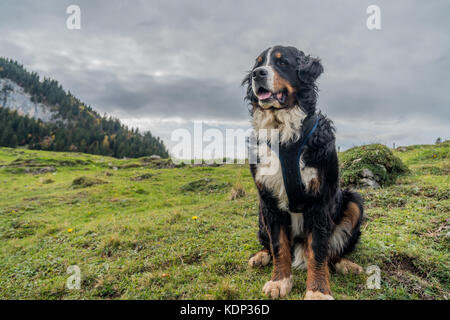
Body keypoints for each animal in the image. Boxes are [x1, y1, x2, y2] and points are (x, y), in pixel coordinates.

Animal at [243, 45, 366, 300]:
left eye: (282, 63)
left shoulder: (320, 201)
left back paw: (345, 263)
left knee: (331, 251)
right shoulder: (269, 199)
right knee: (269, 245)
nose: (257, 74)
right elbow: (279, 246)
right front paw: (279, 281)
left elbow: (318, 250)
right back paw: (260, 256)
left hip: (353, 201)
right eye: (258, 63)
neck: (283, 134)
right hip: (260, 213)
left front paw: (317, 290)